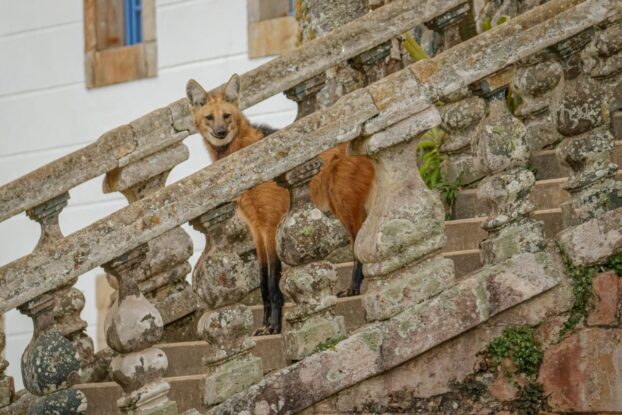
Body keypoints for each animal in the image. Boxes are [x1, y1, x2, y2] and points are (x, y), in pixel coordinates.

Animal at [188, 74, 376, 334]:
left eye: (226, 116)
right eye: (209, 117)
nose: (220, 132)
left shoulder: (270, 224)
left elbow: (273, 280)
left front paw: (275, 325)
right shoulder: (256, 228)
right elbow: (262, 282)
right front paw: (265, 324)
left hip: (342, 201)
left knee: (358, 238)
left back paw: (354, 287)